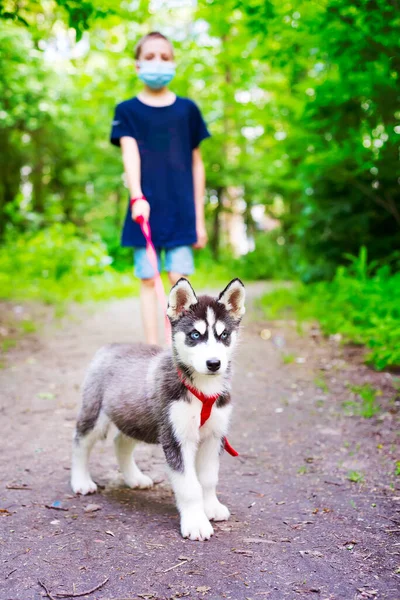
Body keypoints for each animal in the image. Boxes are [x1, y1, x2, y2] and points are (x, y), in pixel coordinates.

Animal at [71, 278, 245, 540]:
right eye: (195, 334)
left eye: (224, 334)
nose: (214, 364)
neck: (202, 390)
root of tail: (112, 346)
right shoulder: (176, 438)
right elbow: (189, 486)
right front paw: (196, 523)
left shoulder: (214, 436)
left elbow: (208, 479)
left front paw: (211, 507)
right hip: (95, 414)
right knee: (81, 442)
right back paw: (81, 481)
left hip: (137, 419)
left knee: (121, 442)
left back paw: (134, 478)